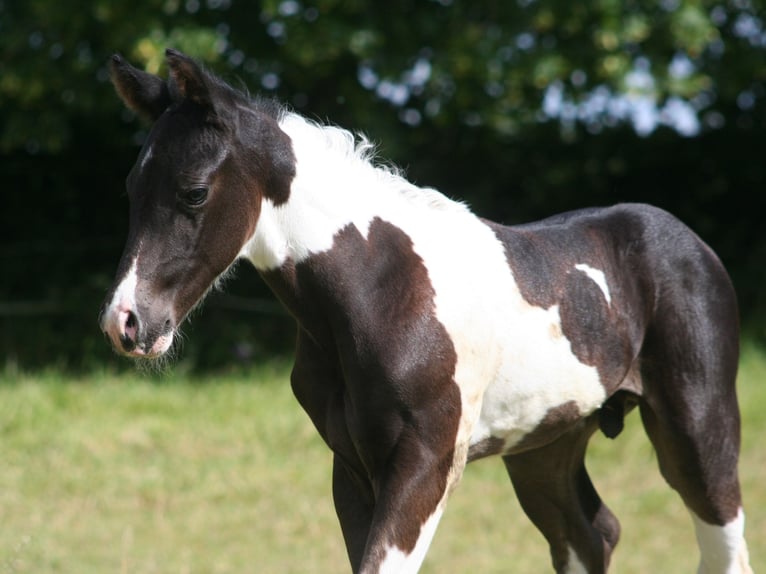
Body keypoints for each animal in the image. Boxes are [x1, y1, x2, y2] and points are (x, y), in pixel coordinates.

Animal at [100, 50, 753, 574]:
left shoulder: (424, 465)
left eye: (194, 192)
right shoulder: (351, 469)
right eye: (130, 189)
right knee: (593, 536)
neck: (381, 290)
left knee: (723, 548)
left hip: (698, 427)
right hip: (546, 447)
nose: (126, 323)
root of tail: (690, 242)